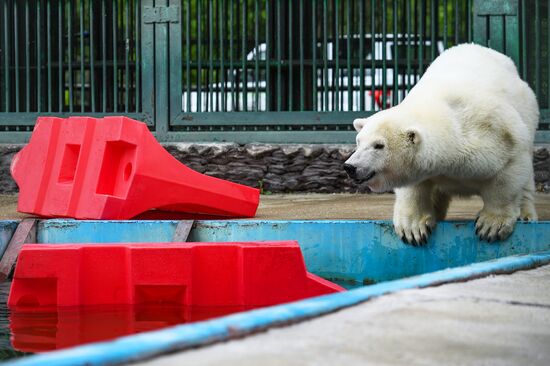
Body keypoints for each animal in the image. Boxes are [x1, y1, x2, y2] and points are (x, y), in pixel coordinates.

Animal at [344, 43, 540, 244]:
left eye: (378, 145)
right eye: (358, 142)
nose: (350, 166)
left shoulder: (495, 132)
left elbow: (507, 174)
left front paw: (491, 225)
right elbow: (415, 188)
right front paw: (413, 228)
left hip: (528, 110)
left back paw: (525, 215)